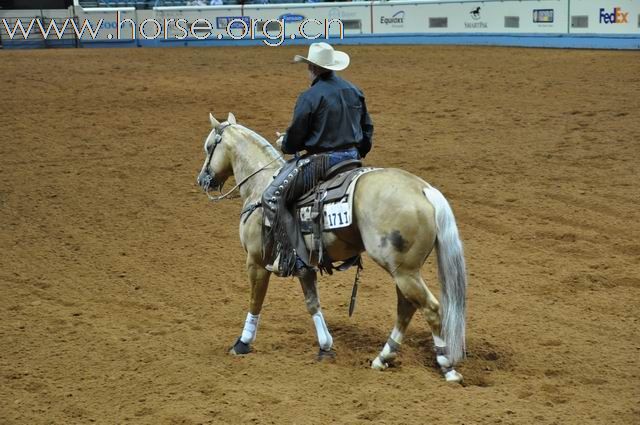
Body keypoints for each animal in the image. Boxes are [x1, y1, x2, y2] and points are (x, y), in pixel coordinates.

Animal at [198, 112, 468, 380]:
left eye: (209, 147)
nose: (202, 180)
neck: (260, 185)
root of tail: (423, 189)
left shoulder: (256, 261)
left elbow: (256, 300)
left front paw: (242, 343)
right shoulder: (304, 266)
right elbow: (312, 303)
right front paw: (325, 346)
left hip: (404, 271)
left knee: (430, 308)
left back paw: (447, 366)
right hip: (404, 271)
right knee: (406, 307)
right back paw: (383, 358)